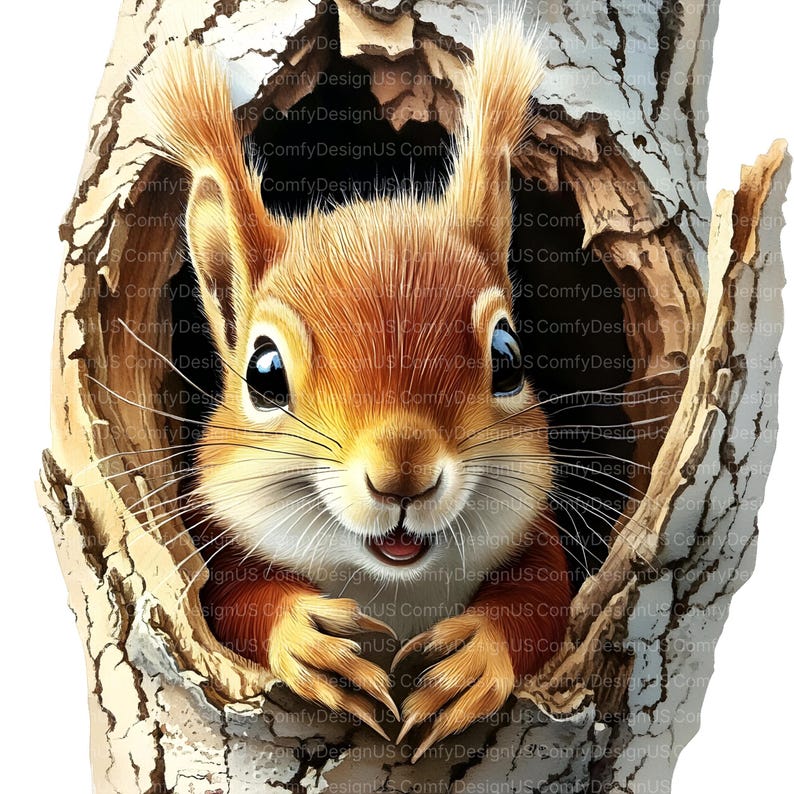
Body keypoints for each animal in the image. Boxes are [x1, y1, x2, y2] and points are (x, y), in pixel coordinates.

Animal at [139, 17, 571, 760]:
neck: (387, 585)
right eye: (264, 373)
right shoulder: (214, 543)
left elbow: (545, 593)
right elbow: (231, 597)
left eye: (509, 357)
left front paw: (473, 659)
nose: (403, 475)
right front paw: (307, 639)